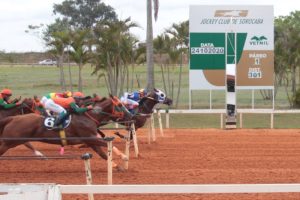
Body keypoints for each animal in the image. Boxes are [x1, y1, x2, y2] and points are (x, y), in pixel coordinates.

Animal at [0, 96, 131, 170]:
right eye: (120, 105)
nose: (130, 115)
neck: (88, 117)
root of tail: (12, 118)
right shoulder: (91, 138)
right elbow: (109, 145)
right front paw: (124, 157)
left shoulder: (90, 140)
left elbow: (103, 154)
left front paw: (117, 166)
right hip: (9, 141)